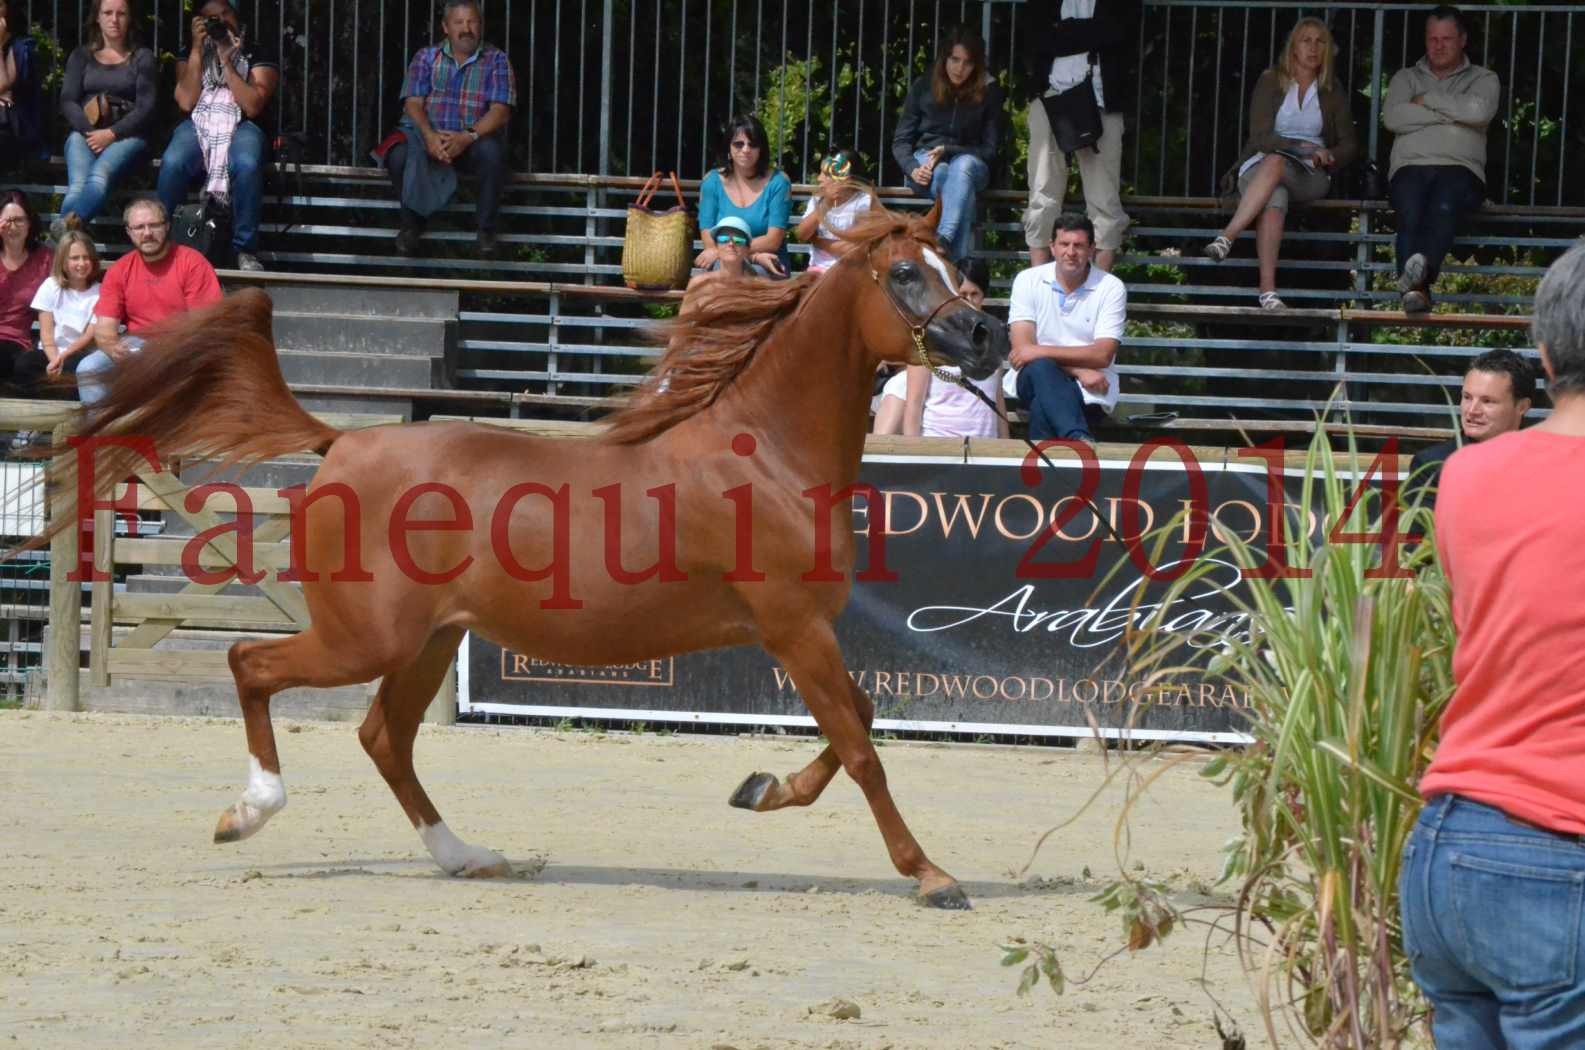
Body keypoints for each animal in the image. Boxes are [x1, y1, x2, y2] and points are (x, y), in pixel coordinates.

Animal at [64, 207, 1001, 913]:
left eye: (948, 263)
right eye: (905, 274)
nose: (986, 334)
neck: (765, 456)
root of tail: (342, 443)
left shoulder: (804, 633)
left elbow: (861, 722)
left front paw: (759, 788)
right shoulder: (792, 628)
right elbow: (861, 746)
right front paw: (932, 876)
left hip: (429, 640)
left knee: (383, 736)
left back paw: (466, 855)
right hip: (365, 637)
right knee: (251, 664)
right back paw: (248, 813)